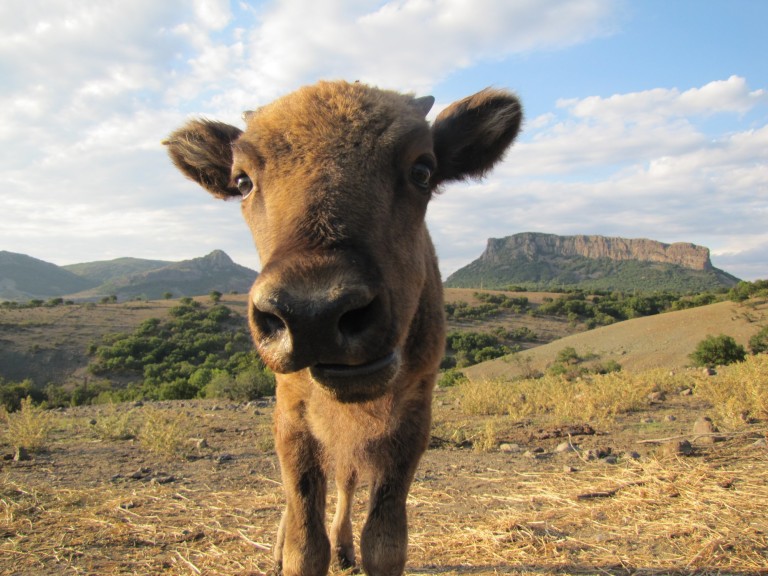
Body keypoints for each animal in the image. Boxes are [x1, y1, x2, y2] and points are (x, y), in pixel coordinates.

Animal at [164, 81, 520, 576]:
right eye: (243, 181)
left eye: (423, 170)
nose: (314, 314)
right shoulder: (292, 415)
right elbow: (304, 534)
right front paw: (291, 551)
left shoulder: (411, 418)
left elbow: (385, 540)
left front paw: (353, 549)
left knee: (347, 482)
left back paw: (344, 549)